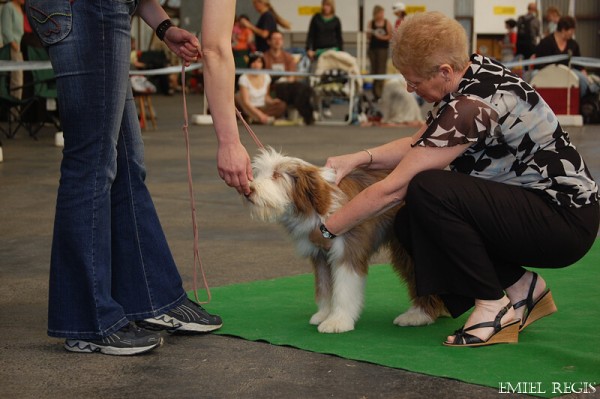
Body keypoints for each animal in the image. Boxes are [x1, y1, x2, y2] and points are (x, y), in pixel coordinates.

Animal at [243, 148, 446, 334]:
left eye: (277, 175)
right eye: (259, 173)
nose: (249, 190)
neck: (314, 206)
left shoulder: (348, 250)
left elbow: (344, 289)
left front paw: (338, 321)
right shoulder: (320, 255)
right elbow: (324, 287)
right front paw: (324, 314)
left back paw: (419, 315)